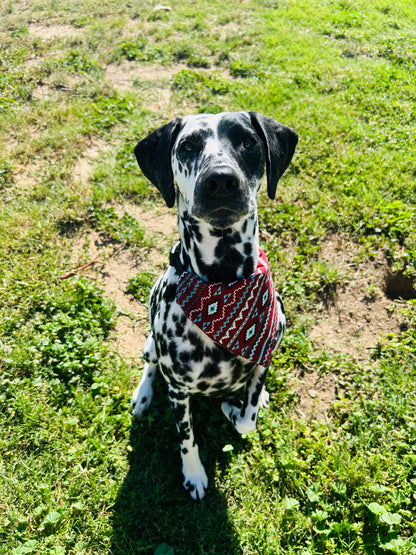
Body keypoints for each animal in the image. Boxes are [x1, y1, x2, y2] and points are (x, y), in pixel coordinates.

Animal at [132, 111, 298, 502]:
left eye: (248, 141)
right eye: (188, 146)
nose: (220, 180)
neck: (223, 286)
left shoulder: (265, 350)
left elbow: (247, 421)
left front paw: (237, 405)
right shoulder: (179, 391)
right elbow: (187, 439)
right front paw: (194, 473)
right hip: (150, 347)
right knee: (149, 365)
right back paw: (143, 394)